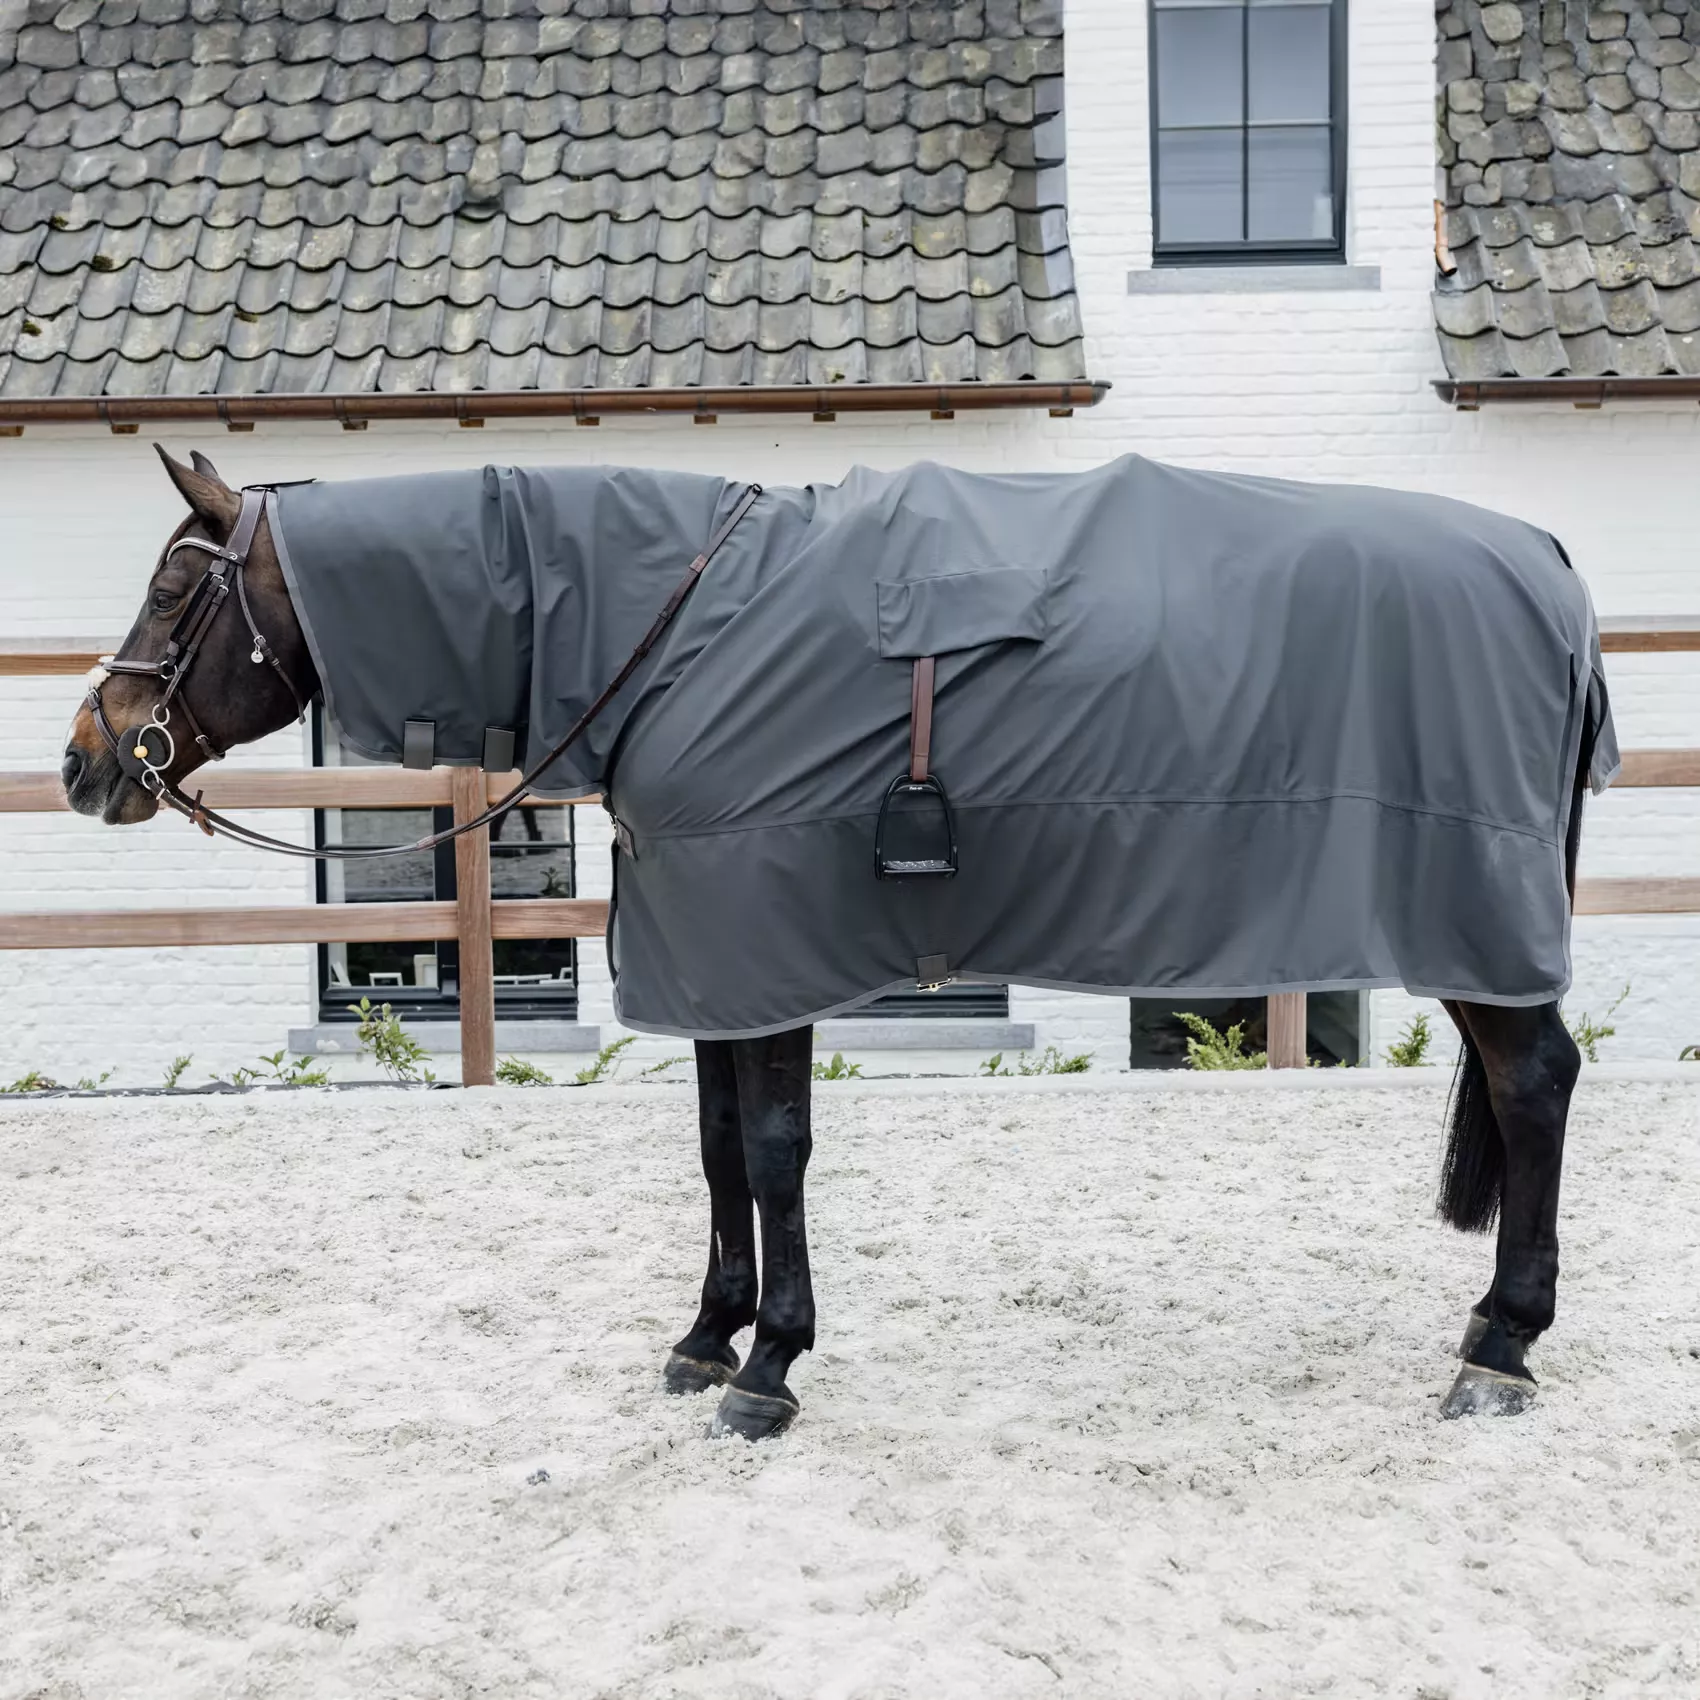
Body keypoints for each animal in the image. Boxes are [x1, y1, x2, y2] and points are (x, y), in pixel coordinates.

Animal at [62, 446, 1596, 1440]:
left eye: (171, 592)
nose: (85, 759)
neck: (667, 632)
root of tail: (1552, 565)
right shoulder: (712, 957)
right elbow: (716, 1152)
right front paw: (706, 1338)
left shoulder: (768, 947)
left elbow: (775, 1151)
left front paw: (769, 1369)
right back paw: (1488, 1331)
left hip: (1471, 918)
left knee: (1533, 1086)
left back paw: (1502, 1350)